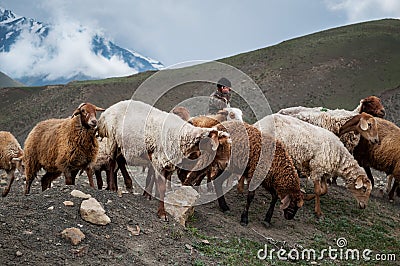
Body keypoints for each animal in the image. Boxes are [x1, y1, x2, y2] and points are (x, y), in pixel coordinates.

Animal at [95, 98, 230, 219]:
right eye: (220, 146)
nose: (225, 164)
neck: (182, 135)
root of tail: (106, 112)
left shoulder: (165, 162)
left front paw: (149, 197)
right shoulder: (159, 159)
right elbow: (161, 186)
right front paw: (161, 213)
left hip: (123, 144)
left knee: (119, 161)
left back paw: (125, 184)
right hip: (112, 139)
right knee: (112, 162)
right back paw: (112, 187)